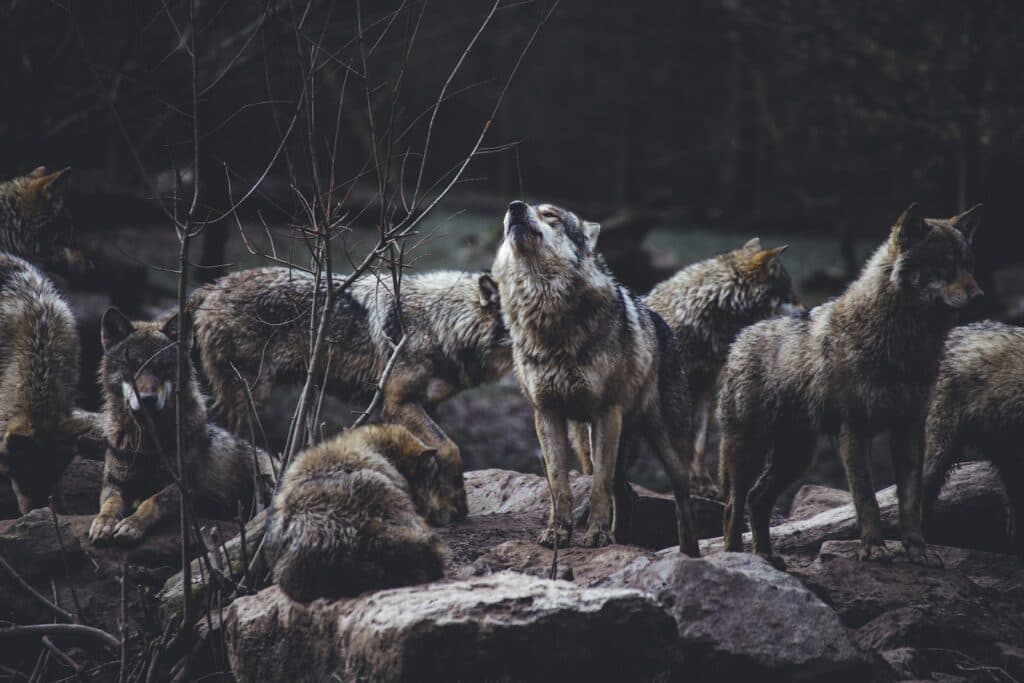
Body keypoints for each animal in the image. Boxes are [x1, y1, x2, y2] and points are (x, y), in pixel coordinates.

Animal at [88, 307, 276, 545]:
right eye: (133, 366)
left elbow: (152, 501)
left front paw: (132, 524)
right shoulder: (114, 483)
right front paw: (103, 523)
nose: (147, 399)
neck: (149, 442)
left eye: (163, 367)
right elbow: (109, 504)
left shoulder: (185, 488)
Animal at [189, 267, 511, 521]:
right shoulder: (397, 403)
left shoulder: (426, 406)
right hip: (250, 397)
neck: (440, 323)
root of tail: (213, 286)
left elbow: (433, 454)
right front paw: (457, 503)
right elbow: (450, 448)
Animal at [491, 200, 698, 555]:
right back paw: (622, 540)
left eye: (551, 214)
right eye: (520, 208)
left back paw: (689, 555)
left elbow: (598, 488)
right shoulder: (547, 414)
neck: (548, 317)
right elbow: (558, 485)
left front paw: (597, 536)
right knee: (626, 493)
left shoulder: (605, 413)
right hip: (587, 443)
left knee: (682, 503)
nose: (515, 206)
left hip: (665, 447)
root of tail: (662, 323)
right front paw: (558, 533)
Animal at [718, 204, 983, 567]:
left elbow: (910, 502)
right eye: (943, 265)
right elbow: (866, 498)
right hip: (751, 451)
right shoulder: (854, 429)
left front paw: (918, 550)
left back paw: (766, 557)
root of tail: (740, 338)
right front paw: (873, 548)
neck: (903, 344)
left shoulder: (910, 429)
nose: (979, 295)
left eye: (968, 265)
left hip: (796, 456)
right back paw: (736, 557)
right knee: (734, 503)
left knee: (757, 498)